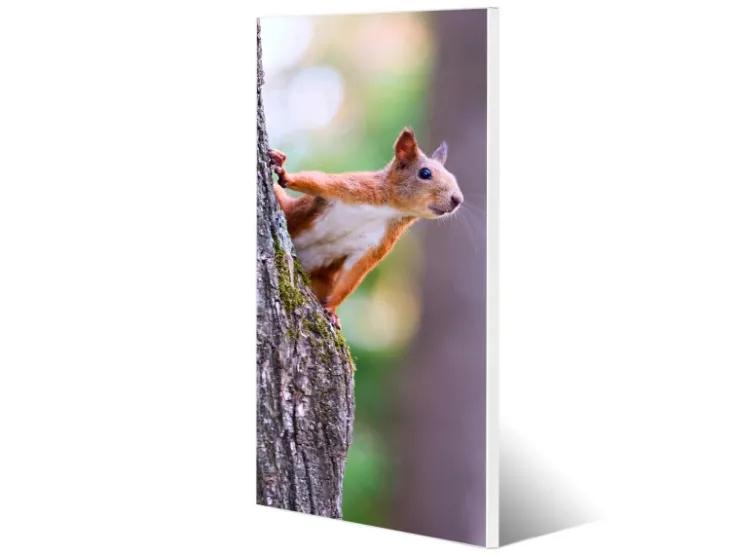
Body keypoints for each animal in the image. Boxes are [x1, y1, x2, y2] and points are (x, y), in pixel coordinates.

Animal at [268, 127, 463, 329]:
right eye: (425, 173)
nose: (457, 200)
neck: (390, 208)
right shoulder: (354, 187)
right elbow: (317, 181)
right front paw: (284, 173)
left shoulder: (378, 242)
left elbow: (355, 273)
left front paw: (332, 309)